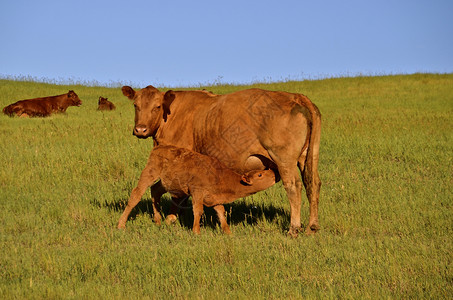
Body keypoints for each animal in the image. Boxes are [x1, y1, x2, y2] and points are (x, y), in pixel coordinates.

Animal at [116, 145, 276, 234]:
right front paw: (196, 231)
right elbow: (198, 210)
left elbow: (221, 212)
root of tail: (158, 148)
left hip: (166, 182)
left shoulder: (214, 198)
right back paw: (121, 224)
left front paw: (228, 232)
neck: (220, 176)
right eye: (260, 175)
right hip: (150, 172)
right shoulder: (197, 192)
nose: (274, 173)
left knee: (155, 191)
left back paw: (158, 220)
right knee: (136, 194)